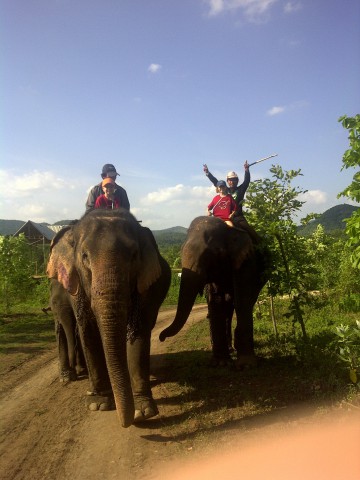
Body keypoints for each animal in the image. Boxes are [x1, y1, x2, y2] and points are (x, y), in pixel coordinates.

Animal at [46, 208, 172, 426]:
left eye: (134, 255)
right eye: (84, 256)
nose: (127, 422)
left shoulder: (145, 285)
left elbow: (139, 331)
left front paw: (143, 410)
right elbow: (88, 331)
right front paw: (100, 404)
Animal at [160, 217, 268, 368]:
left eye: (211, 254)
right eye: (180, 251)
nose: (161, 337)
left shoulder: (248, 260)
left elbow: (243, 300)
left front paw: (246, 365)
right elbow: (217, 301)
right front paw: (221, 363)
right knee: (228, 306)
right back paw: (230, 349)